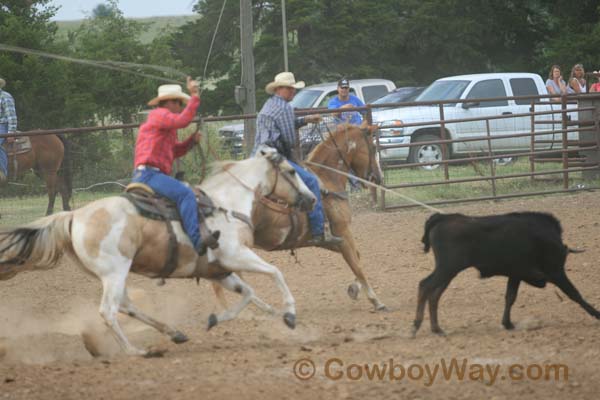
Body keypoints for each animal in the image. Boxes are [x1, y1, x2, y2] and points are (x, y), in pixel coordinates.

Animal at [0, 148, 316, 356]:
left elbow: (248, 293)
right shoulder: (234, 255)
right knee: (108, 311)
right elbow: (276, 272)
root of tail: (73, 215)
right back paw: (135, 351)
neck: (226, 205)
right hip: (115, 272)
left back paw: (173, 333)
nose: (312, 199)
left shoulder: (220, 270)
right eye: (291, 172)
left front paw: (215, 319)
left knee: (125, 305)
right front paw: (290, 315)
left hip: (113, 275)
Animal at [213, 120, 386, 310]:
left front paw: (354, 289)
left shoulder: (325, 240)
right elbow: (356, 265)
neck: (328, 179)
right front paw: (375, 300)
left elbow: (357, 256)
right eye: (373, 147)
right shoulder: (343, 232)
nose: (378, 177)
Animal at [412, 211, 600, 336]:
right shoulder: (555, 272)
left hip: (448, 272)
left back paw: (436, 329)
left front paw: (507, 323)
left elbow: (510, 297)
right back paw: (416, 326)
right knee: (425, 286)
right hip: (446, 269)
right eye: (562, 259)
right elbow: (575, 294)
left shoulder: (515, 275)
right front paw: (597, 314)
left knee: (434, 295)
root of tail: (444, 217)